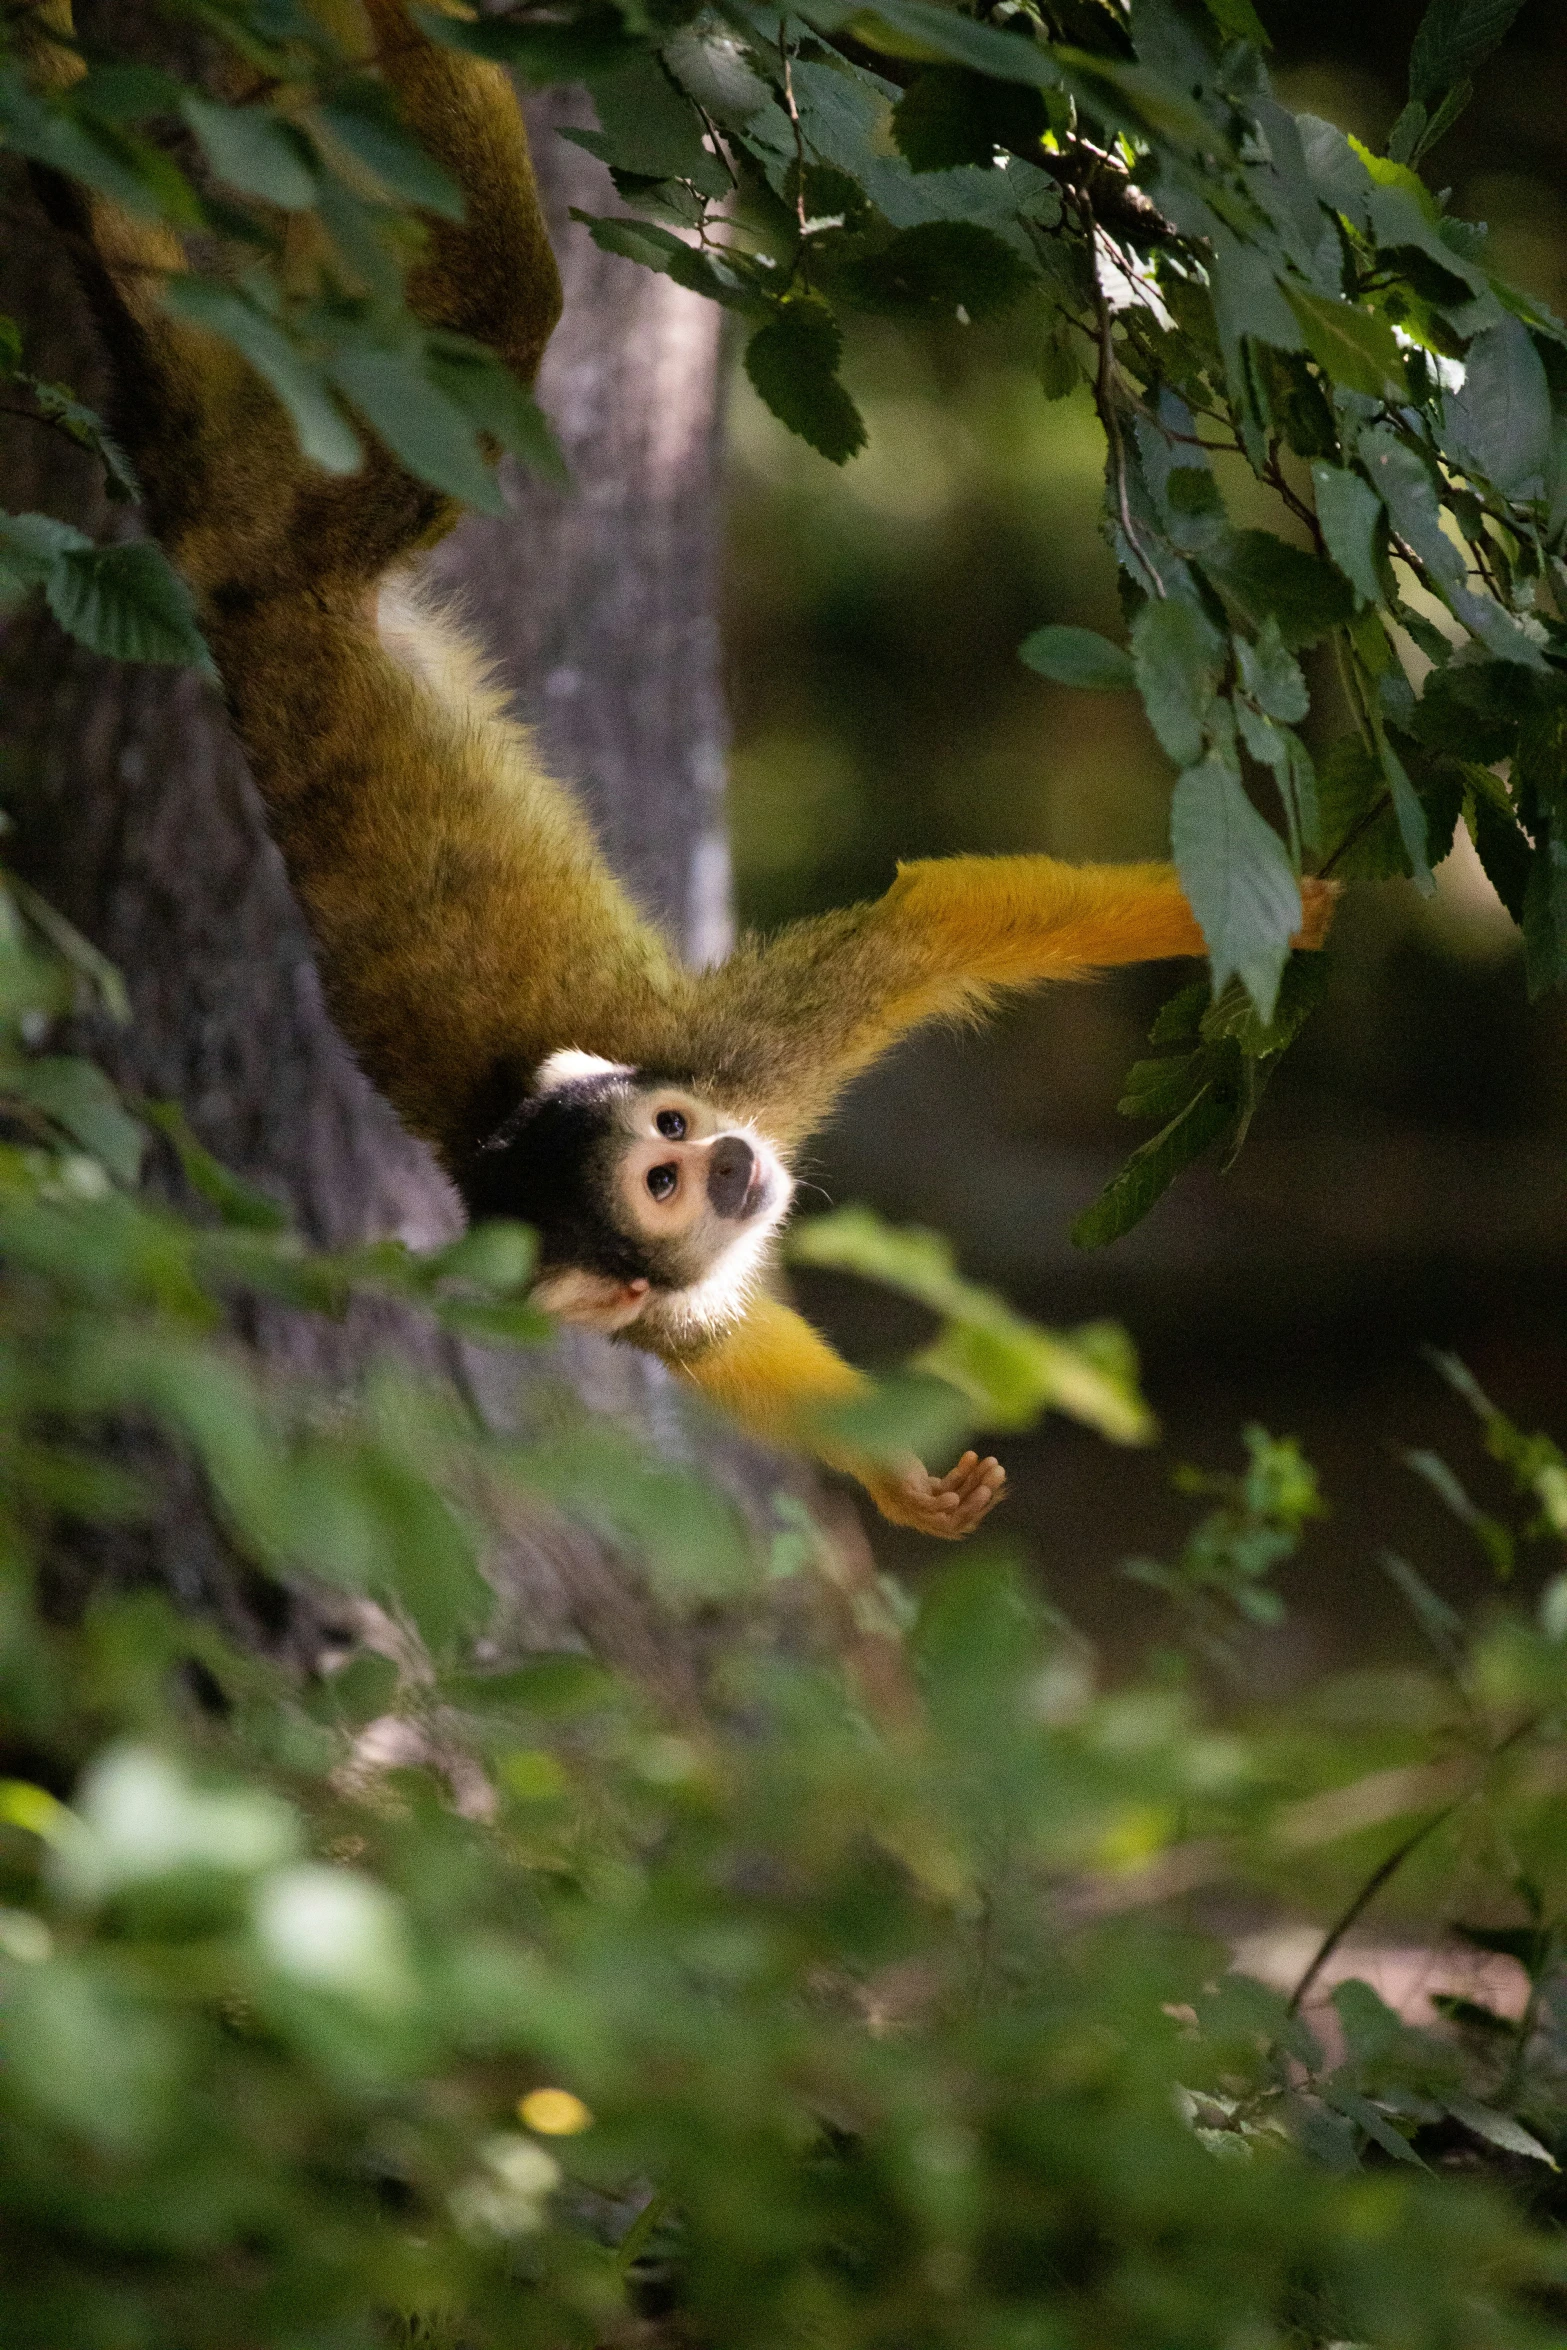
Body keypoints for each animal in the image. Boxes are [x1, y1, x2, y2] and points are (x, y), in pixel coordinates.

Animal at [24, 0, 1334, 1541]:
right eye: (662, 1177)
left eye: (672, 1123)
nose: (729, 1163)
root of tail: (220, 592)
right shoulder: (648, 1283)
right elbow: (734, 1326)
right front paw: (896, 1481)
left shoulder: (735, 1057)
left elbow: (928, 921)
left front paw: (1270, 913)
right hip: (313, 490)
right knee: (498, 309)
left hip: (299, 466)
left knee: (470, 303)